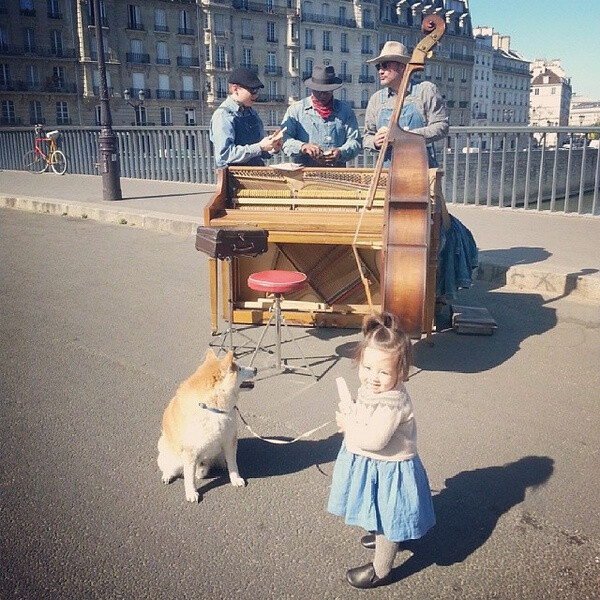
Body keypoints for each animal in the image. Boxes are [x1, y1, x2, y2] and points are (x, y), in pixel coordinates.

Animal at [157, 350, 255, 504]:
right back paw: (167, 475)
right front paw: (191, 492)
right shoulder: (190, 452)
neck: (212, 409)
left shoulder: (230, 441)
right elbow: (189, 478)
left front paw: (235, 478)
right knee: (169, 467)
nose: (256, 369)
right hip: (171, 455)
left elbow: (233, 464)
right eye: (239, 368)